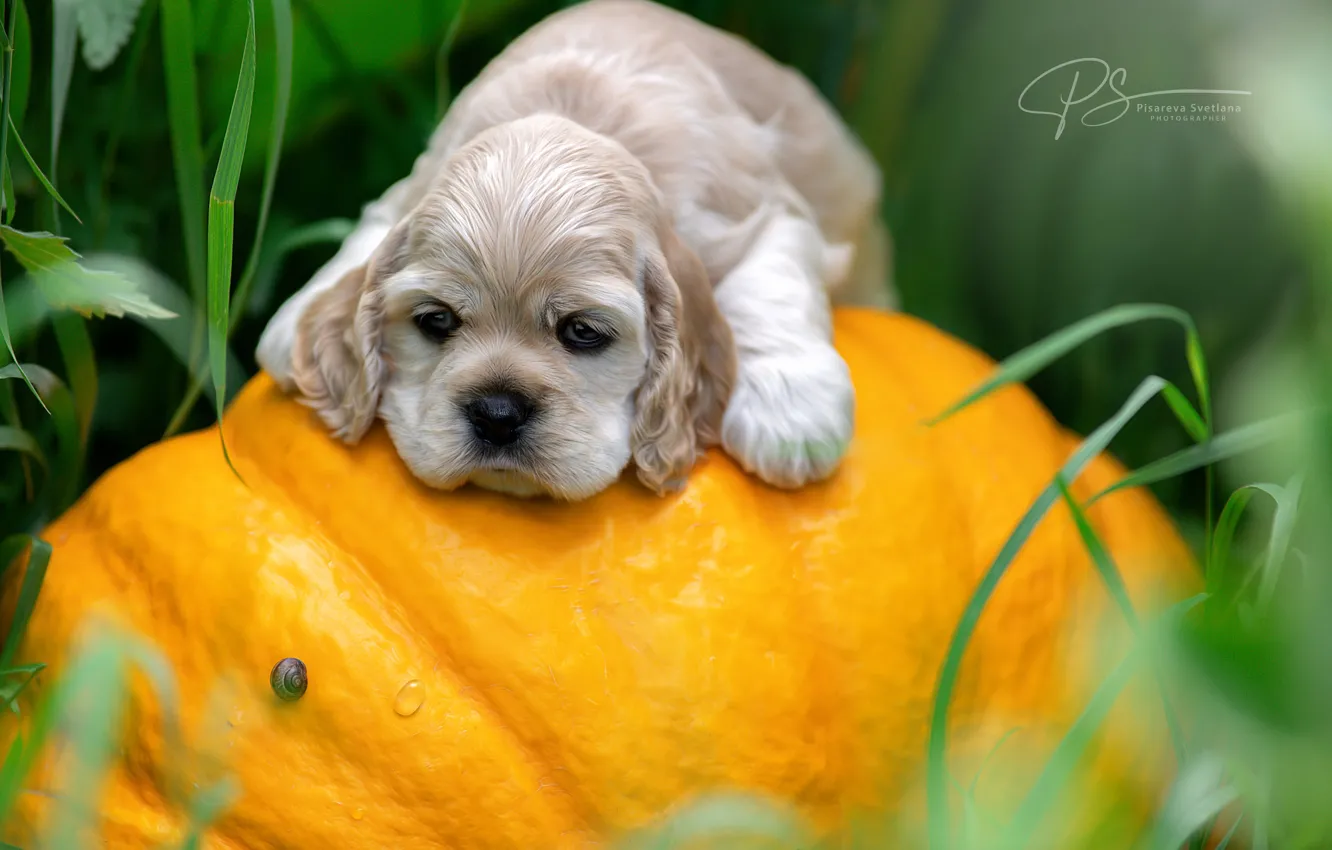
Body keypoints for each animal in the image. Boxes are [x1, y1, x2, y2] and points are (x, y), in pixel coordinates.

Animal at [251, 0, 895, 503]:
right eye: (436, 321)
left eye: (583, 332)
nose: (497, 414)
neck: (575, 113)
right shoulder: (408, 189)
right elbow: (364, 241)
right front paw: (297, 321)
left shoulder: (764, 211)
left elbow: (768, 282)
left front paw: (790, 408)